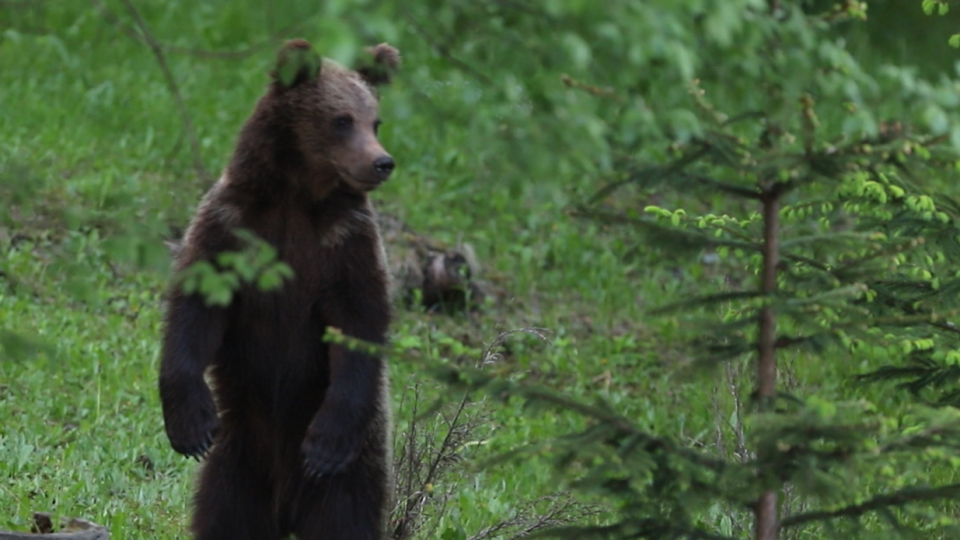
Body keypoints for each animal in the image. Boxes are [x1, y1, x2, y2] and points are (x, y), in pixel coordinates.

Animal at [159, 39, 400, 540]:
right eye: (342, 119)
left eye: (376, 121)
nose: (382, 162)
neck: (297, 197)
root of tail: (285, 508)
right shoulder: (232, 224)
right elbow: (195, 312)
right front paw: (189, 424)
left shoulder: (346, 245)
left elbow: (361, 323)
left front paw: (326, 444)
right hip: (237, 466)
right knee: (224, 518)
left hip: (351, 477)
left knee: (344, 520)